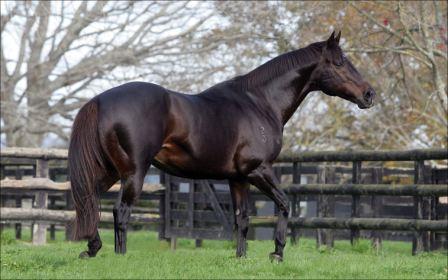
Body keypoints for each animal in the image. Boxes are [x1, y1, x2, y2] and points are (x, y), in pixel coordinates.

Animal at [68, 31, 374, 262]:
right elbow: (285, 204)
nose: (369, 94)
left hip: (111, 171)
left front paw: (241, 258)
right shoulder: (259, 170)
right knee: (119, 212)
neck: (259, 102)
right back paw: (119, 257)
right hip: (134, 172)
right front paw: (277, 253)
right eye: (339, 62)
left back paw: (92, 249)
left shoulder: (238, 178)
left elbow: (242, 219)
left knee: (88, 201)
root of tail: (100, 100)